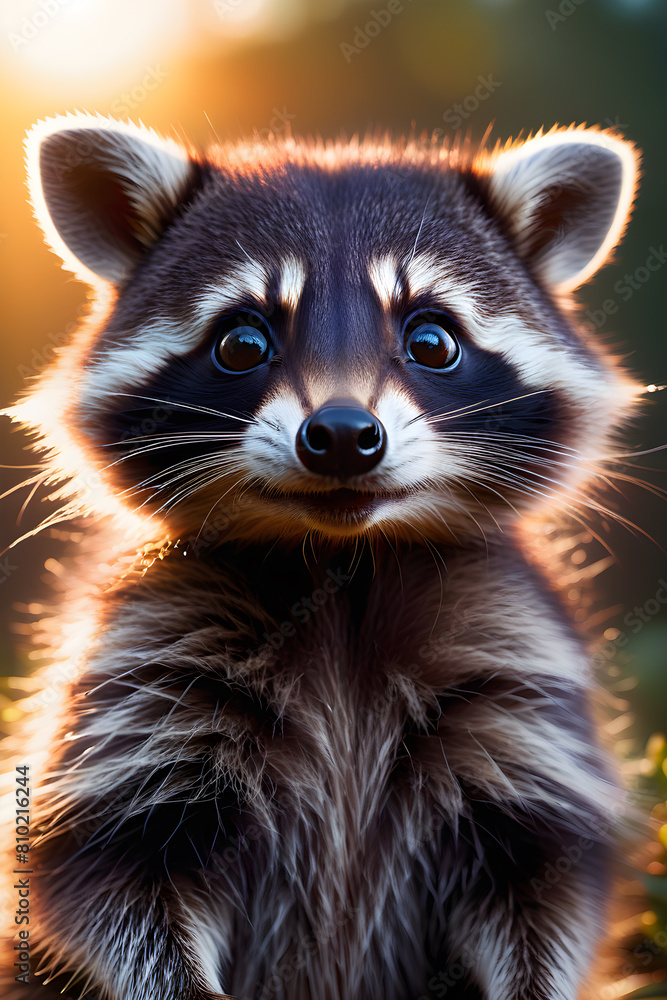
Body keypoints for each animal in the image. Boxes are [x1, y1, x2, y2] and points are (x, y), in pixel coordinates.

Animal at [2, 113, 644, 1000]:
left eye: (432, 338)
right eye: (242, 341)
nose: (341, 434)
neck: (342, 564)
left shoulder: (518, 676)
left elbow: (547, 893)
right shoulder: (142, 672)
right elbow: (111, 888)